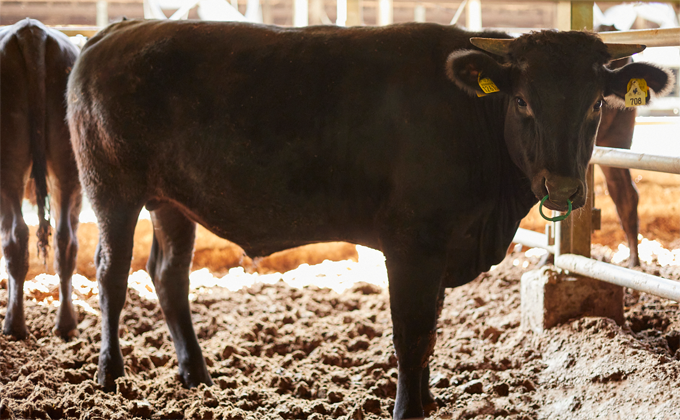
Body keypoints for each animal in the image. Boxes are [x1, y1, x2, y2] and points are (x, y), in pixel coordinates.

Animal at [0, 18, 82, 342]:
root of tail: (30, 30)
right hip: (68, 167)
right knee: (65, 240)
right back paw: (66, 322)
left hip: (7, 168)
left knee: (15, 237)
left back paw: (14, 324)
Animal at [66, 20, 672, 420]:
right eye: (522, 101)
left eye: (596, 104)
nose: (563, 187)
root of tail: (115, 32)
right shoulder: (412, 243)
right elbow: (411, 332)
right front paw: (408, 409)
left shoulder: (439, 247)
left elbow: (429, 327)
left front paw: (426, 399)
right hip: (111, 188)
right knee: (111, 274)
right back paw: (110, 375)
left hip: (173, 202)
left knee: (168, 274)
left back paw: (195, 374)